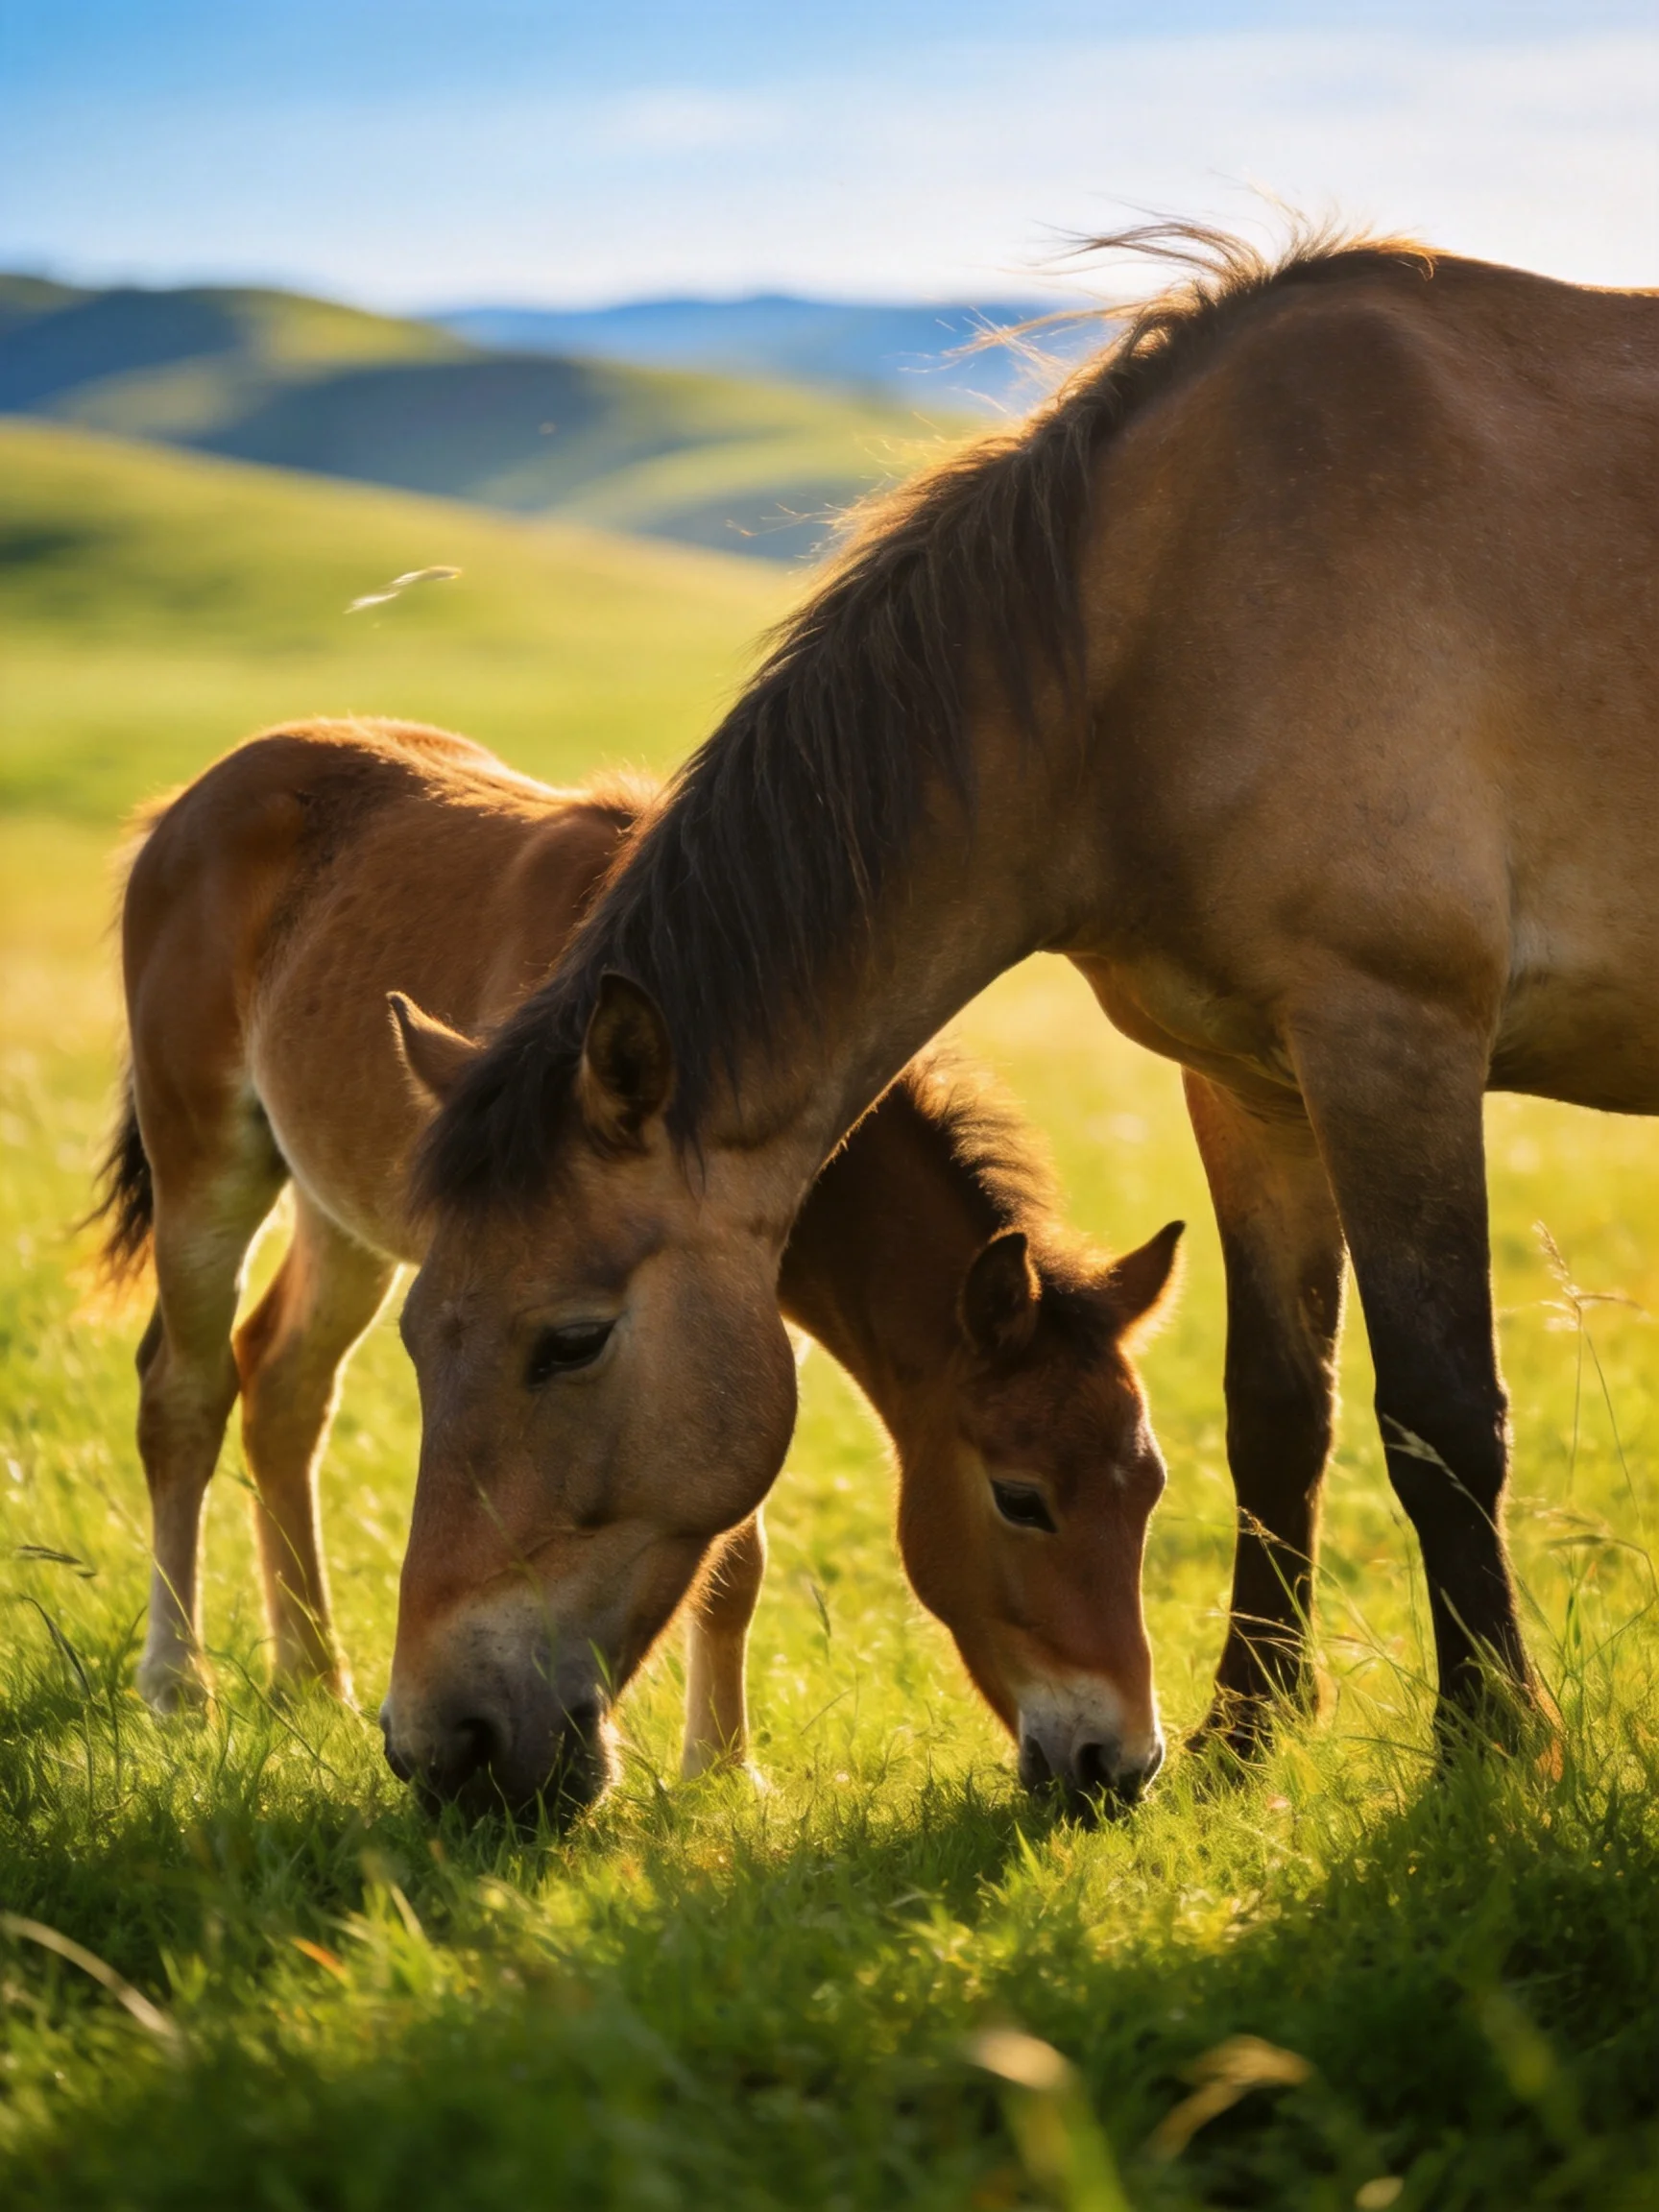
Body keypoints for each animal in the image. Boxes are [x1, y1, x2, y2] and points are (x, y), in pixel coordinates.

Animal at [98, 717, 1183, 1812]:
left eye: (1150, 1490)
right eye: (1021, 1499)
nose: (1117, 1762)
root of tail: (195, 799)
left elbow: (733, 1558)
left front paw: (725, 1766)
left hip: (341, 1216)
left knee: (284, 1388)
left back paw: (314, 1676)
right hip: (206, 1168)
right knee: (184, 1393)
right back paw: (178, 1683)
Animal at [385, 227, 1658, 1808]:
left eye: (570, 1341)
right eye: (416, 1335)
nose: (440, 1740)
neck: (1171, 615)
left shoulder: (1394, 1045)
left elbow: (1439, 1415)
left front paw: (1492, 1744)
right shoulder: (1252, 1082)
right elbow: (1277, 1413)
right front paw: (1245, 1739)